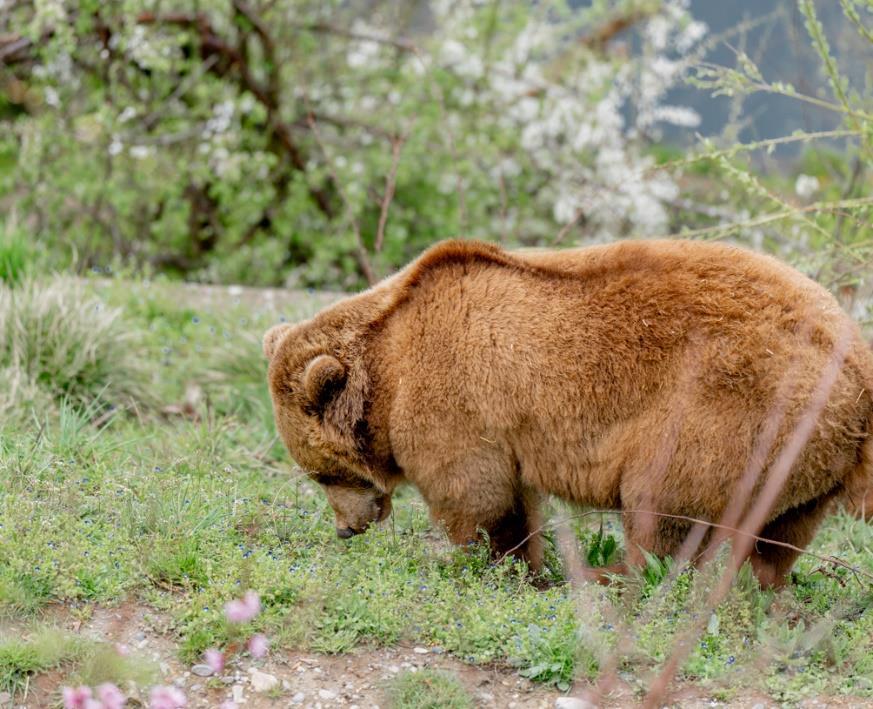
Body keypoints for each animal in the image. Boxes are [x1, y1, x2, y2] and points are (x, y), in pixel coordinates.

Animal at [264, 239, 873, 588]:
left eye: (322, 473)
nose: (346, 529)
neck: (387, 364)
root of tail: (858, 364)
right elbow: (511, 498)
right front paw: (521, 564)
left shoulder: (453, 400)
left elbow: (478, 496)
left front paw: (488, 564)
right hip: (803, 449)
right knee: (783, 530)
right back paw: (764, 584)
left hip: (729, 408)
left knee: (662, 504)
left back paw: (612, 576)